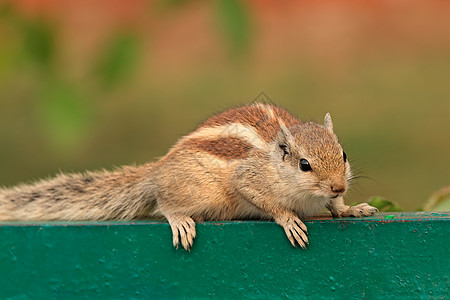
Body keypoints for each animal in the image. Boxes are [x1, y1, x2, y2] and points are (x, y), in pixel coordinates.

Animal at [0, 104, 378, 250]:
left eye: (344, 155)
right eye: (304, 165)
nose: (338, 185)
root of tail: (158, 170)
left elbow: (336, 207)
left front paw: (350, 208)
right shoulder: (247, 178)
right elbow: (265, 200)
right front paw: (289, 219)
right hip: (197, 192)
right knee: (164, 202)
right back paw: (179, 219)